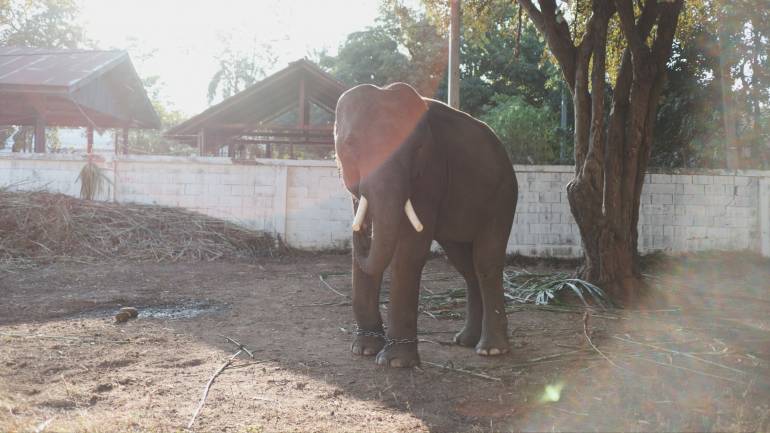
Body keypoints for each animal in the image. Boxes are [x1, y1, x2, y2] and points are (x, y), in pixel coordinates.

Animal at [334, 82, 520, 368]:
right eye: (350, 144)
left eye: (417, 148)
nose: (363, 233)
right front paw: (363, 350)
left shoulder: (431, 171)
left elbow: (409, 251)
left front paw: (395, 363)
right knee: (465, 264)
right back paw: (465, 341)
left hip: (503, 195)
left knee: (485, 262)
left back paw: (491, 350)